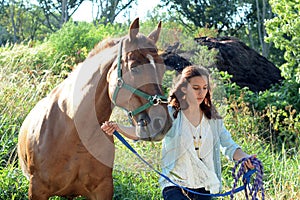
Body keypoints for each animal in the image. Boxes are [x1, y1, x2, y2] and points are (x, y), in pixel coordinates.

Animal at [17, 18, 172, 199]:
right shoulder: (37, 190)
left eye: (162, 68)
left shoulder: (103, 189)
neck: (73, 133)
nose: (161, 122)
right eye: (135, 67)